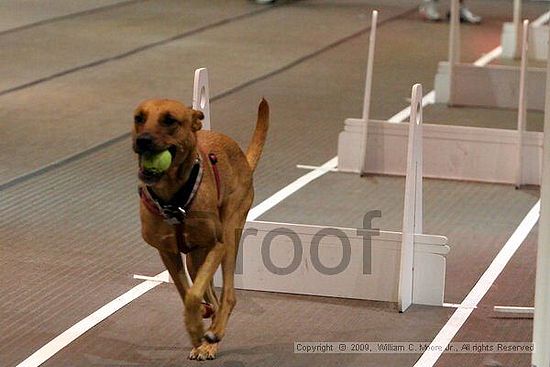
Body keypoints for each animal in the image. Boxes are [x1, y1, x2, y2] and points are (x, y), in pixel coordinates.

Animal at [134, 98, 272, 362]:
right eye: (139, 118)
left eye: (169, 120)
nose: (142, 140)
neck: (173, 198)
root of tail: (241, 155)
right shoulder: (168, 253)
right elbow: (186, 292)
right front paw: (197, 325)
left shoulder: (217, 246)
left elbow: (193, 295)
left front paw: (198, 328)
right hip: (194, 259)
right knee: (213, 298)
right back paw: (208, 337)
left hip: (229, 235)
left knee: (228, 296)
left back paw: (213, 335)